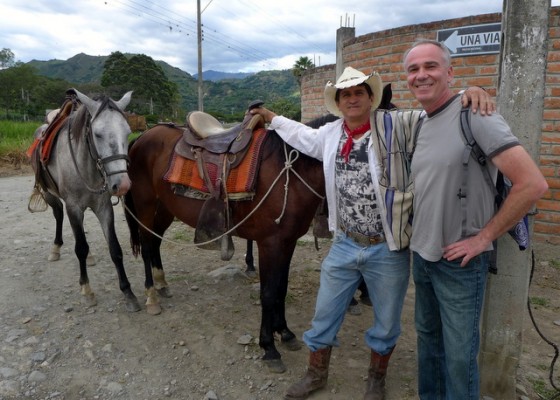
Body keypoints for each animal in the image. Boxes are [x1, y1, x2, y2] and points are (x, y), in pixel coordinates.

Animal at [29, 90, 141, 312]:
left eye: (128, 132)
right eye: (97, 134)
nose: (122, 185)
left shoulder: (104, 208)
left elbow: (115, 250)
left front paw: (128, 292)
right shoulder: (74, 208)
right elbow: (80, 247)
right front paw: (87, 290)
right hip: (49, 194)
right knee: (58, 215)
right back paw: (55, 248)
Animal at [124, 111, 334, 372]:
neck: (291, 174)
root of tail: (143, 135)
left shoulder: (288, 242)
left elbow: (281, 288)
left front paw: (285, 332)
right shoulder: (270, 244)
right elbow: (268, 292)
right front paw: (269, 347)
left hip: (164, 208)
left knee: (154, 243)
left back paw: (162, 284)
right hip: (145, 205)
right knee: (145, 246)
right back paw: (152, 296)